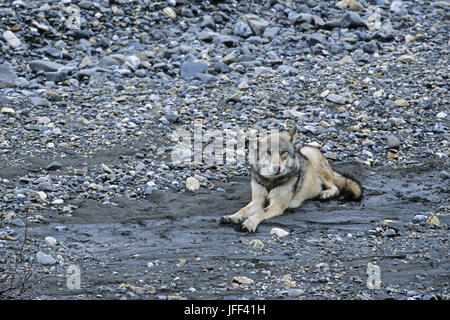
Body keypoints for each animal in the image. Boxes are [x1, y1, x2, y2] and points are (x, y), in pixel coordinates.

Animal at [219, 127, 362, 232]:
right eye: (268, 152)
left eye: (283, 152)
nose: (276, 168)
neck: (270, 181)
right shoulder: (257, 201)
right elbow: (243, 210)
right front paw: (232, 217)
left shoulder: (276, 205)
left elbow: (260, 213)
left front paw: (249, 223)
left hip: (311, 154)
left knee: (335, 187)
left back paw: (325, 194)